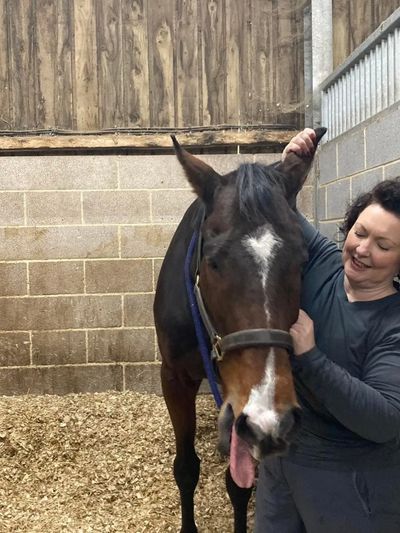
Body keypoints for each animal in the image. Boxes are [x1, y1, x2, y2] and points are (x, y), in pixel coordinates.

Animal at [153, 129, 324, 532]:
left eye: (301, 260)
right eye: (213, 262)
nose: (270, 420)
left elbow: (239, 483)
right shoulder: (174, 378)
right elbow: (186, 469)